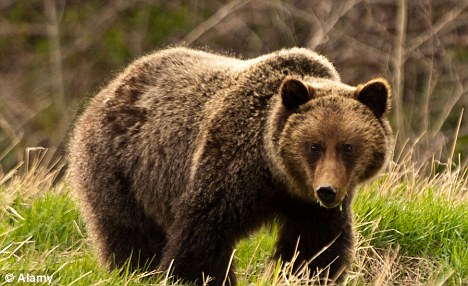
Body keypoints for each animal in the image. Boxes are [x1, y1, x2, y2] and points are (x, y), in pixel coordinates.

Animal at [68, 47, 392, 284]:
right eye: (314, 145)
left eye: (348, 146)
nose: (327, 190)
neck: (277, 174)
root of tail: (112, 87)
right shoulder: (230, 166)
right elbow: (203, 233)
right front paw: (195, 276)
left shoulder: (309, 207)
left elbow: (315, 248)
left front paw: (306, 273)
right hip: (120, 169)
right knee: (130, 235)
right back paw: (135, 271)